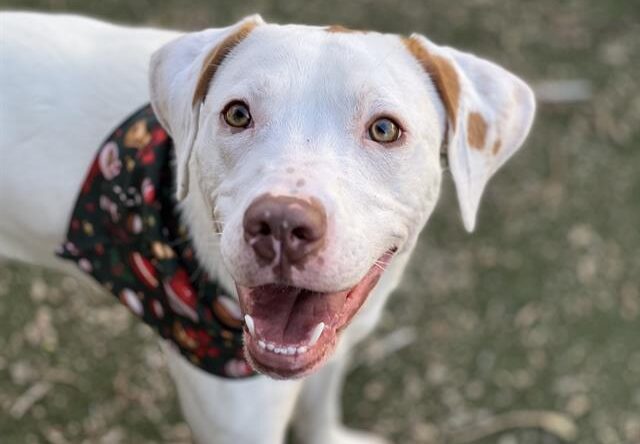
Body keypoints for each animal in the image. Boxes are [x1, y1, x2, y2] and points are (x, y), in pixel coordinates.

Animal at [0, 12, 536, 444]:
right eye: (237, 113)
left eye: (384, 128)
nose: (281, 222)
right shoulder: (236, 421)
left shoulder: (332, 352)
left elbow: (320, 409)